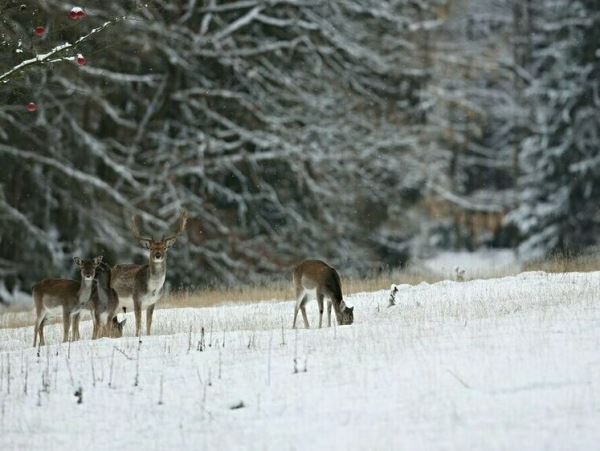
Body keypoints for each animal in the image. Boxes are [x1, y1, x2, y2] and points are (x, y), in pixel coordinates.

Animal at [110, 210, 188, 338]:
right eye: (150, 248)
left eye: (164, 247)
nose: (158, 255)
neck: (152, 289)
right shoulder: (136, 298)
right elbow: (138, 322)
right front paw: (137, 336)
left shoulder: (152, 302)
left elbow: (149, 323)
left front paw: (148, 335)